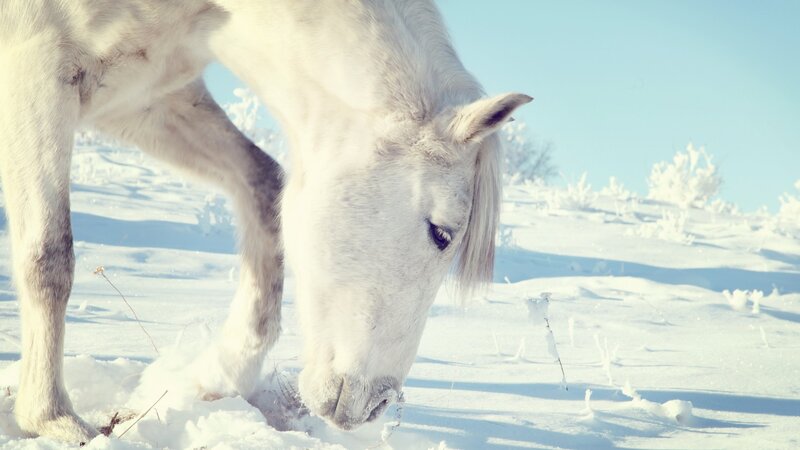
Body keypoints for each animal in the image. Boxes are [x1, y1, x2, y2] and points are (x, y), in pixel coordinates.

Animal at [0, 0, 530, 443]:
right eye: (441, 233)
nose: (376, 405)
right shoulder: (36, 71)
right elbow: (49, 257)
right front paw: (52, 418)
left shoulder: (143, 98)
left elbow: (263, 184)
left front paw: (221, 374)